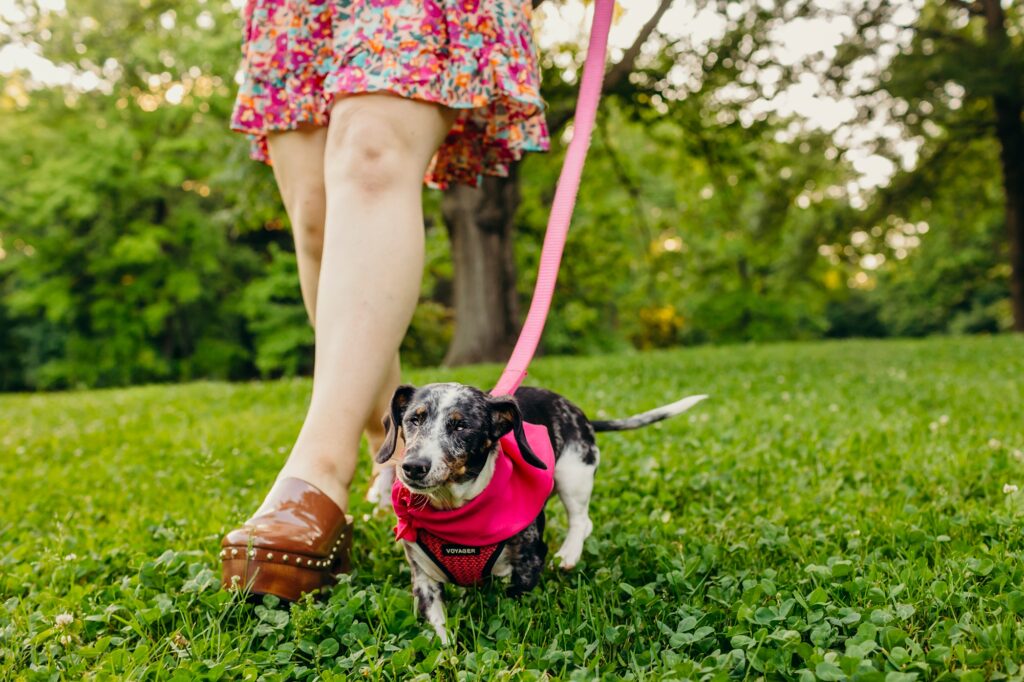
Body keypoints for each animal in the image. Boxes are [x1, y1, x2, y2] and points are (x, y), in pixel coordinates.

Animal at [374, 382, 704, 643]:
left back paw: (569, 553)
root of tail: (578, 412)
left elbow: (514, 605)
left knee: (581, 518)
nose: (413, 467)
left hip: (573, 473)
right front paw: (447, 653)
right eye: (414, 420)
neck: (455, 512)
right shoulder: (423, 579)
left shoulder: (528, 562)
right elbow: (438, 629)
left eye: (460, 425)